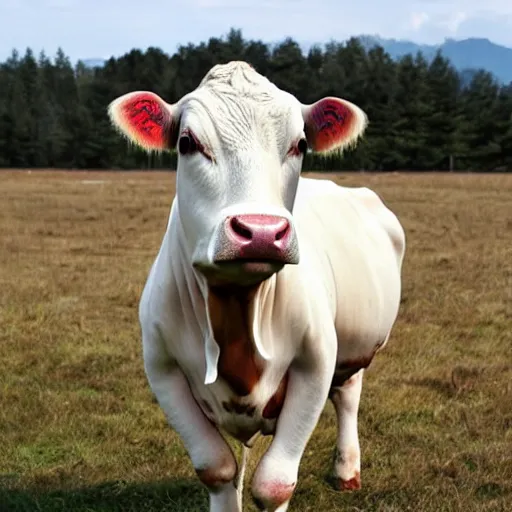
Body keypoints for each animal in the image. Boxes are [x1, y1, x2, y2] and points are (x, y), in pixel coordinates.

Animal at [110, 61, 406, 512]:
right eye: (186, 142)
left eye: (300, 144)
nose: (262, 232)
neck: (236, 311)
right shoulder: (162, 368)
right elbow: (217, 469)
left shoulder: (316, 363)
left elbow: (275, 483)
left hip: (354, 348)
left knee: (348, 395)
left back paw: (346, 471)